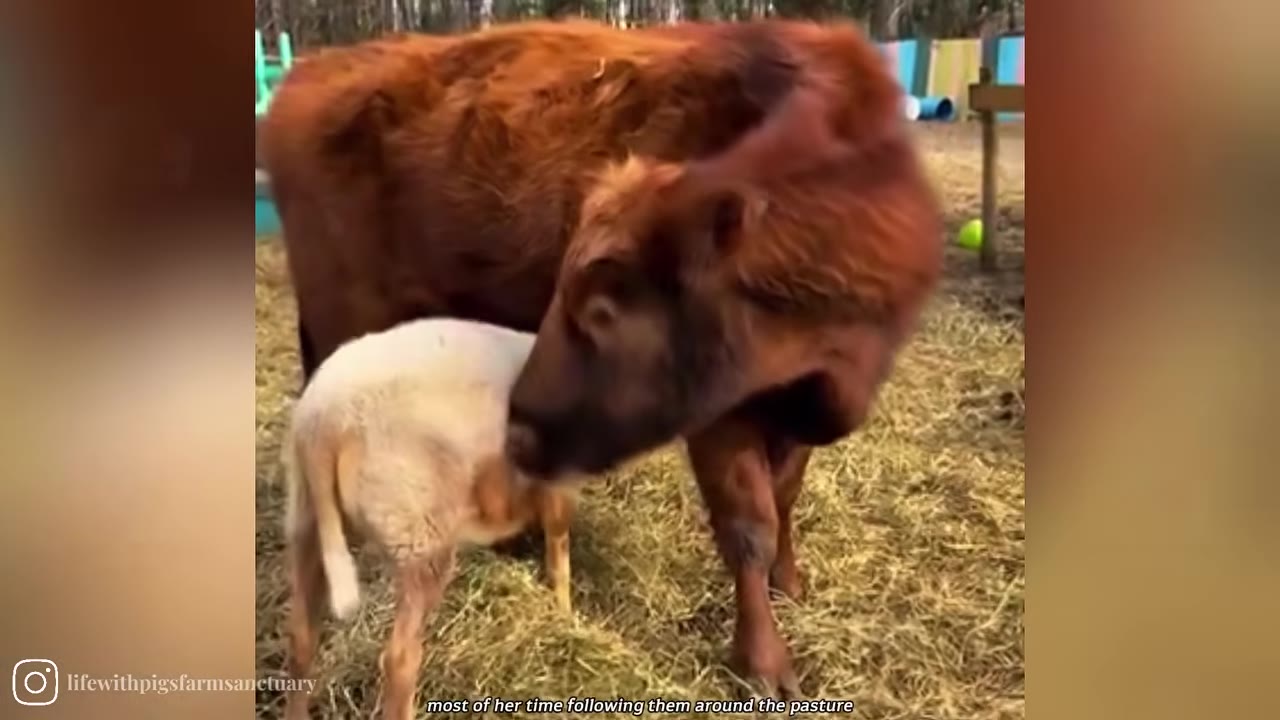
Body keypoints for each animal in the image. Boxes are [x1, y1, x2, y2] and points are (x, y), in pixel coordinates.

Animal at [281, 317, 581, 720]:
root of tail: (323, 423)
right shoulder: (560, 480)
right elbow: (559, 543)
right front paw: (565, 613)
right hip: (418, 535)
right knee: (399, 659)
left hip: (307, 519)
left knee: (301, 638)